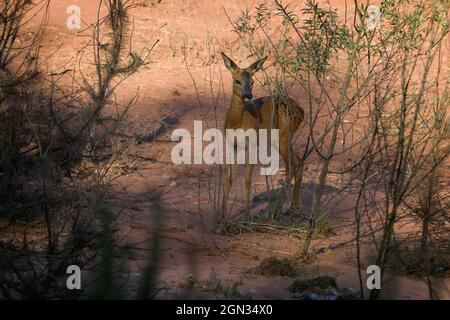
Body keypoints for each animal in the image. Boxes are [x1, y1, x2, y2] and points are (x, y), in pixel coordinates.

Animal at [220, 52, 304, 222]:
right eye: (237, 81)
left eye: (252, 81)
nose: (248, 95)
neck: (237, 122)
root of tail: (301, 111)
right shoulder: (232, 145)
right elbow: (229, 178)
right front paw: (222, 216)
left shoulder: (252, 144)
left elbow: (247, 180)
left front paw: (246, 218)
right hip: (282, 139)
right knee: (299, 162)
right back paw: (291, 209)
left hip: (283, 137)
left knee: (291, 167)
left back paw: (277, 212)